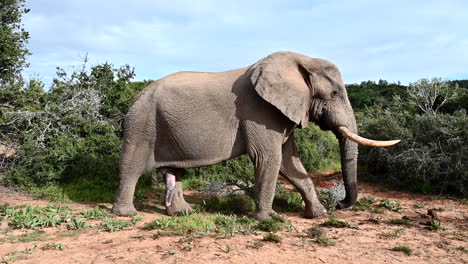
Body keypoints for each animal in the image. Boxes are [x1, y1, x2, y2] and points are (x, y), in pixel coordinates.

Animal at [112, 50, 398, 220]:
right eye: (335, 94)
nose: (340, 204)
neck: (300, 61)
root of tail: (136, 96)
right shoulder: (259, 111)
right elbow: (268, 157)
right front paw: (268, 219)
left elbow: (289, 160)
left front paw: (318, 214)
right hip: (142, 123)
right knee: (131, 167)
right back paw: (127, 214)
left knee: (174, 172)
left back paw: (183, 213)